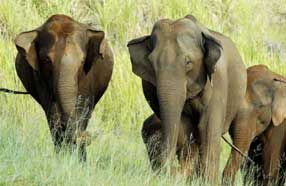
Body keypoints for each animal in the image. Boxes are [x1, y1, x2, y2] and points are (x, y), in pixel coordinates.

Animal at [14, 14, 113, 161]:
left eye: (82, 61)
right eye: (47, 60)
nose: (87, 136)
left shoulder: (88, 74)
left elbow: (83, 108)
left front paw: (79, 160)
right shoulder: (39, 77)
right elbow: (52, 112)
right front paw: (62, 157)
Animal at [127, 13, 246, 182]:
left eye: (188, 62)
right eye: (151, 63)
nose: (169, 170)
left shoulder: (218, 83)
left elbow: (207, 127)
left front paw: (207, 181)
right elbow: (183, 128)